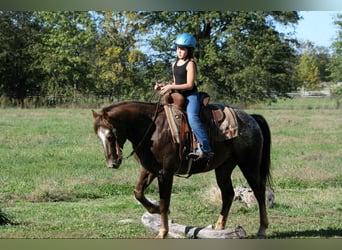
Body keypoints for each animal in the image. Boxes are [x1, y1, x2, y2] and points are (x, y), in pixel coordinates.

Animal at [91, 99, 272, 238]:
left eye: (110, 136)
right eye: (98, 137)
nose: (112, 163)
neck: (152, 129)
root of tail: (251, 118)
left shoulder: (165, 173)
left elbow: (164, 202)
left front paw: (162, 232)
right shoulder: (149, 170)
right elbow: (138, 192)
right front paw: (154, 210)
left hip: (249, 165)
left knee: (259, 192)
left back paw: (262, 229)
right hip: (223, 168)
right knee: (228, 194)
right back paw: (219, 228)